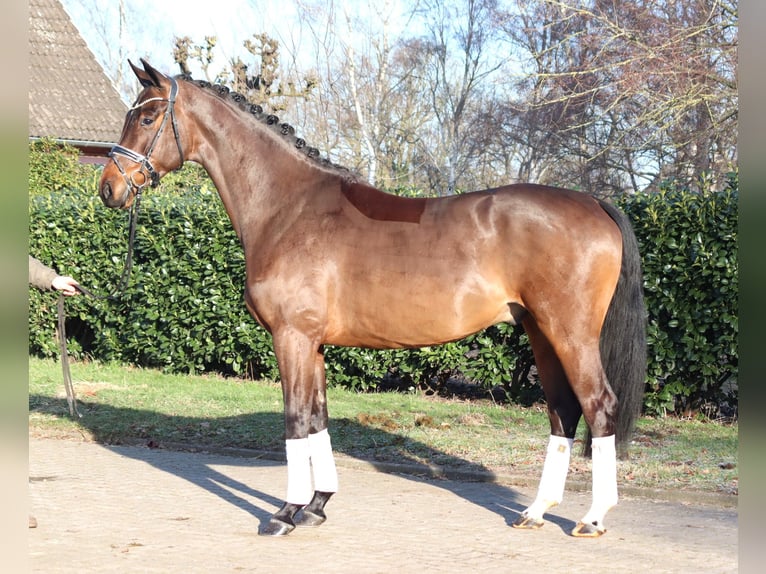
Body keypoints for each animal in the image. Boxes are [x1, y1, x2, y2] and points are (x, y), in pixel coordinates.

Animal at [99, 59, 646, 538]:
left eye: (146, 117)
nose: (108, 188)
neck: (289, 208)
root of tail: (593, 202)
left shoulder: (291, 338)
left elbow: (295, 421)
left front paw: (285, 513)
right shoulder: (314, 344)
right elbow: (317, 418)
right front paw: (317, 506)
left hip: (570, 332)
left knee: (598, 406)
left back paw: (592, 518)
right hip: (540, 331)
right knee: (563, 411)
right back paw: (535, 512)